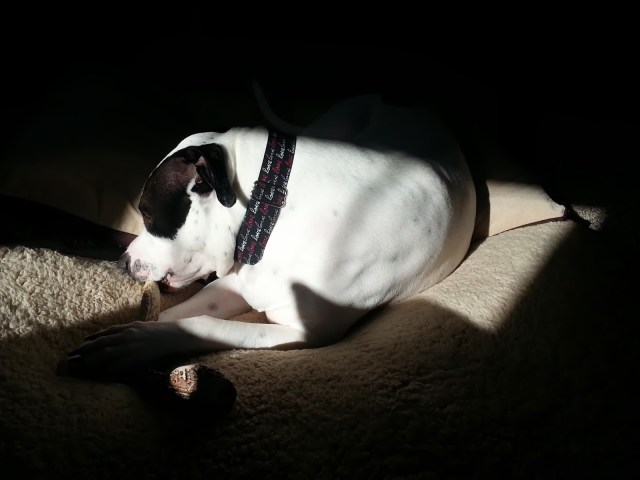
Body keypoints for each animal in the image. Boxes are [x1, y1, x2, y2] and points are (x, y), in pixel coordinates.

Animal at [67, 88, 476, 378]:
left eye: (149, 215)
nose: (123, 261)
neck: (269, 212)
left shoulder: (301, 333)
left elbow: (207, 325)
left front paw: (136, 344)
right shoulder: (239, 283)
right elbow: (181, 311)